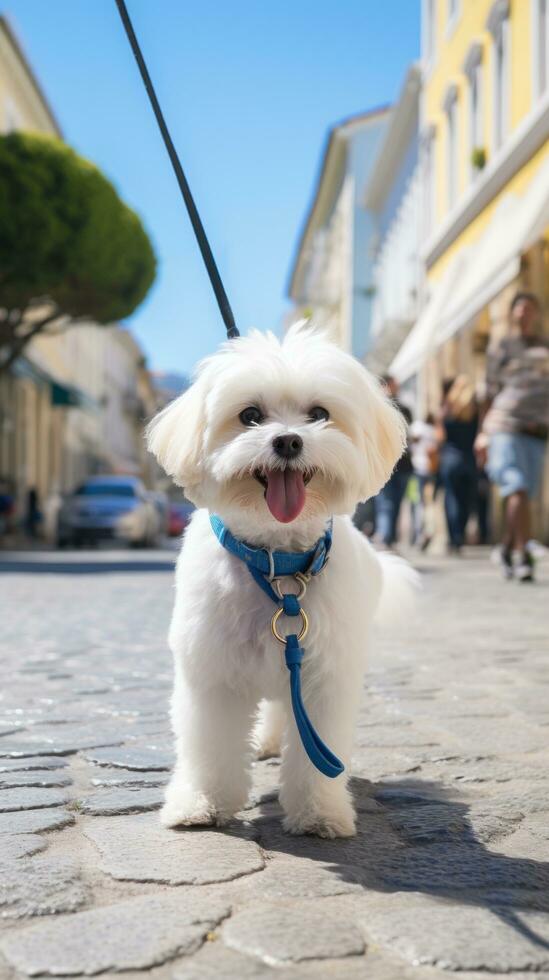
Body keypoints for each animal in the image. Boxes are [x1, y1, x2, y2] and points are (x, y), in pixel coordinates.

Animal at [148, 326, 414, 840]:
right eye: (250, 416)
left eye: (319, 415)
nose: (288, 441)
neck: (278, 565)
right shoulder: (213, 671)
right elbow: (210, 746)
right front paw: (202, 802)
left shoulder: (322, 675)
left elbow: (315, 756)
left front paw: (319, 812)